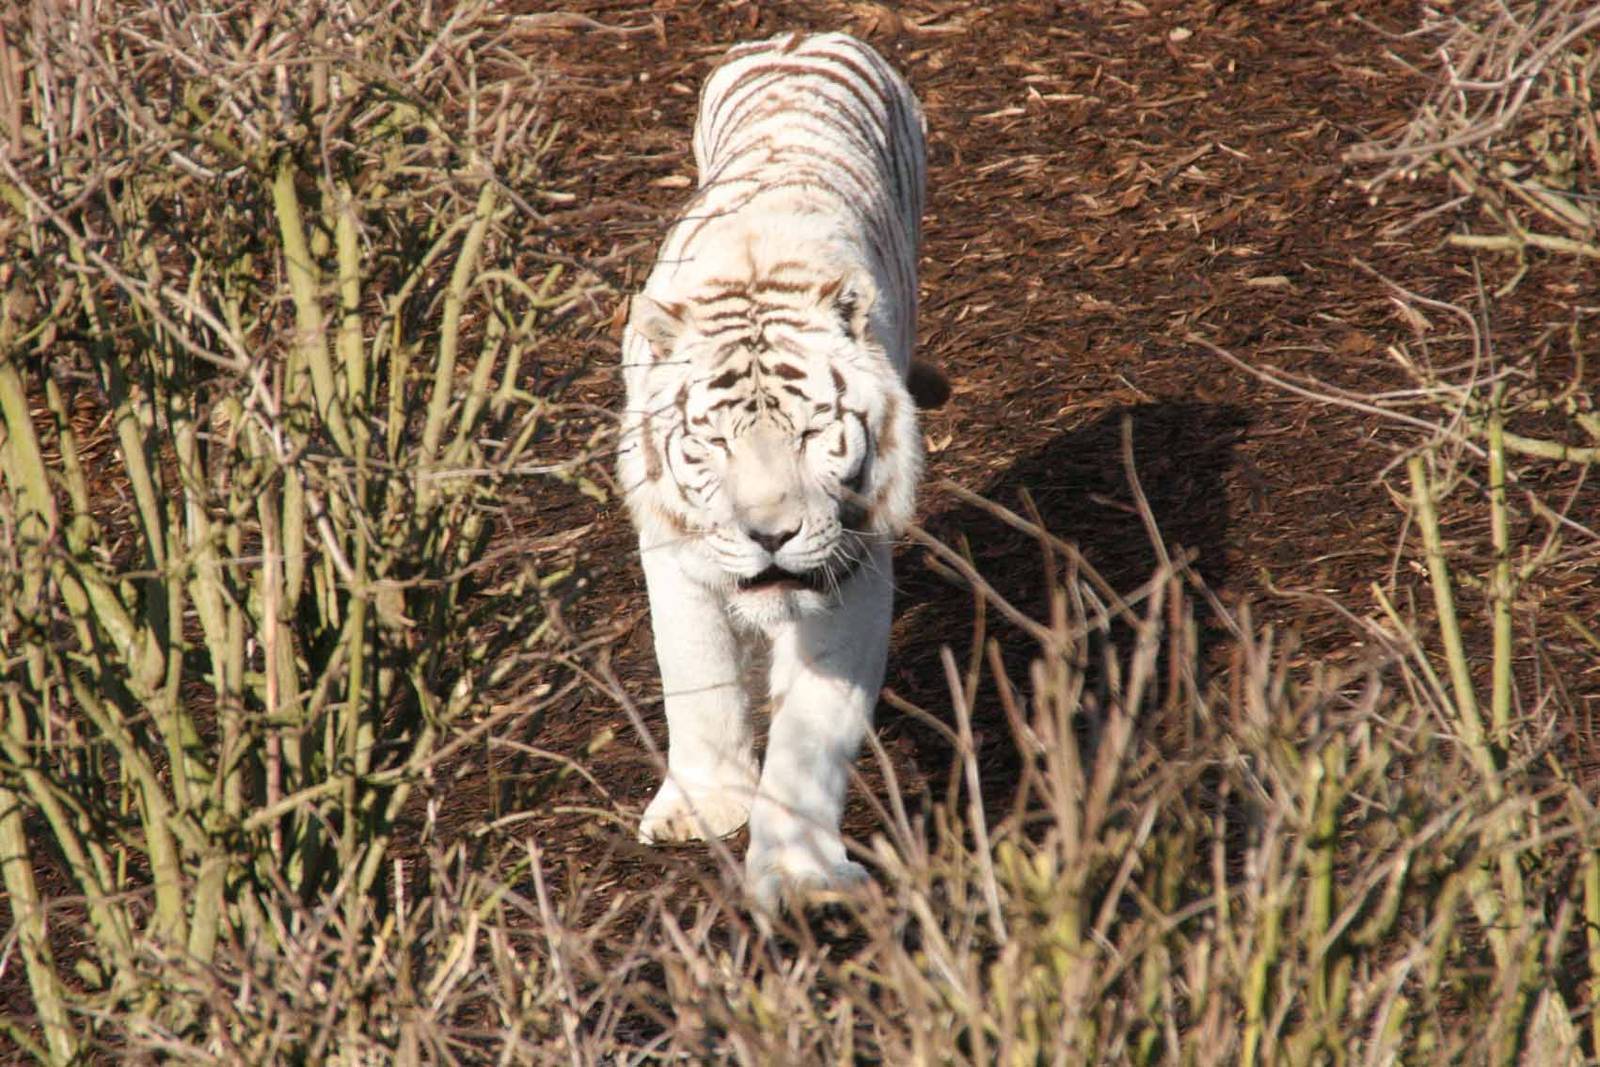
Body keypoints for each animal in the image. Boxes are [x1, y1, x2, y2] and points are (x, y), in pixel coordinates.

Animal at [617, 30, 944, 909]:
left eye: (810, 433)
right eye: (714, 442)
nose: (770, 534)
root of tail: (803, 36)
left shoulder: (852, 565)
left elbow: (810, 731)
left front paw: (799, 873)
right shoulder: (673, 548)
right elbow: (693, 671)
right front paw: (704, 803)